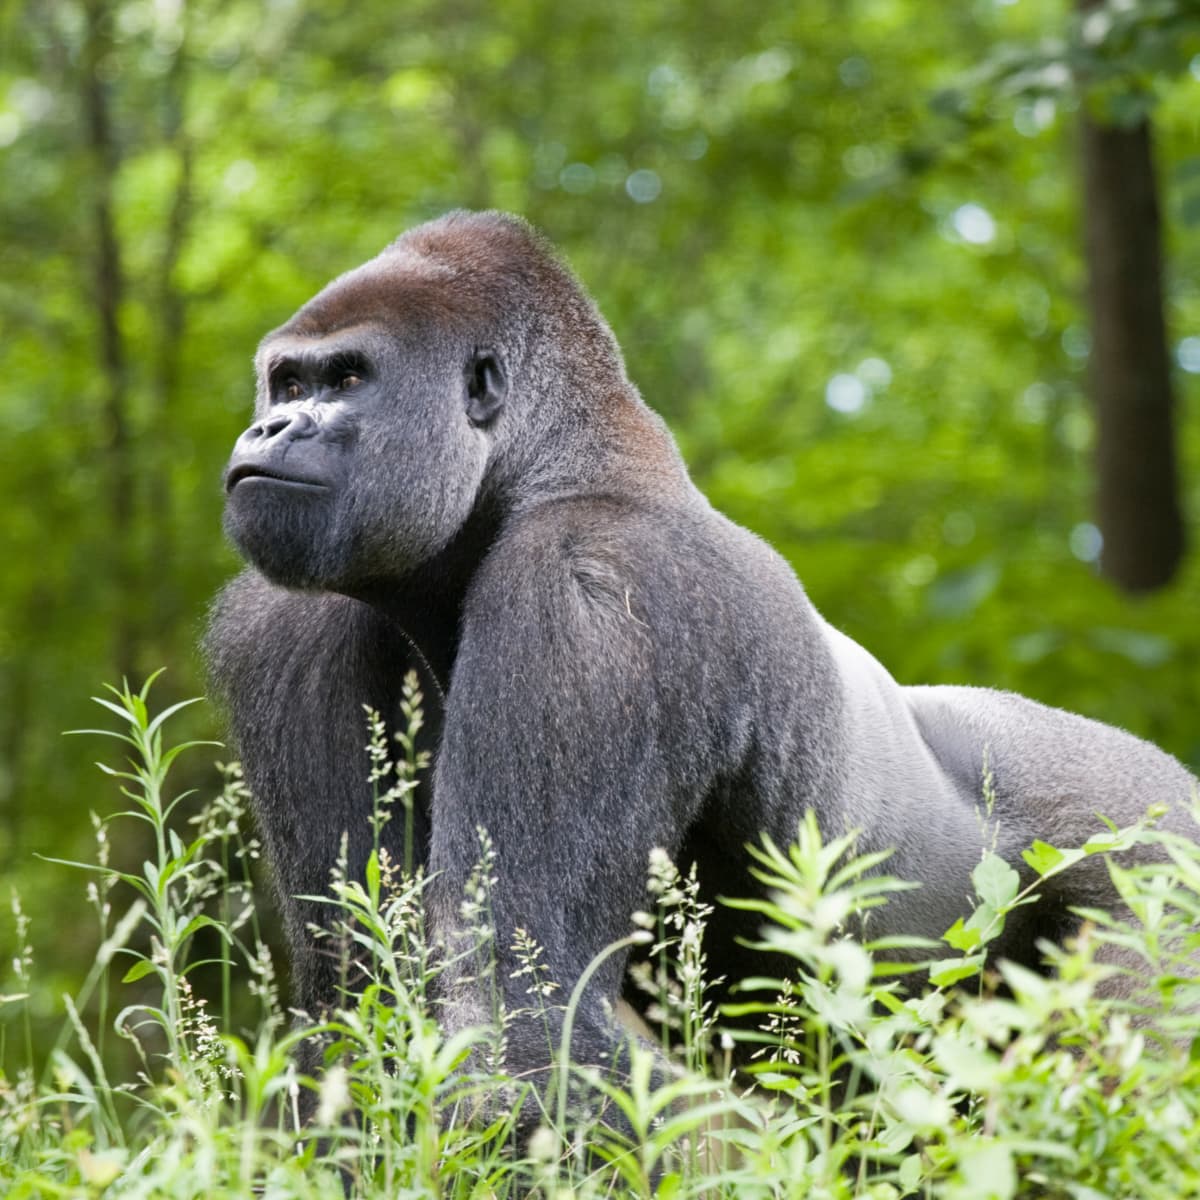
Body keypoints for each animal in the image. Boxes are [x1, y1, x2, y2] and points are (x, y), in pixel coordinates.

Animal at [205, 209, 1198, 1140]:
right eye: (287, 383)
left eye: (346, 381)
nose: (269, 426)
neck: (548, 469)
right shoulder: (288, 626)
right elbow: (361, 1000)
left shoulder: (589, 588)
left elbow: (519, 1014)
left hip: (1152, 852)